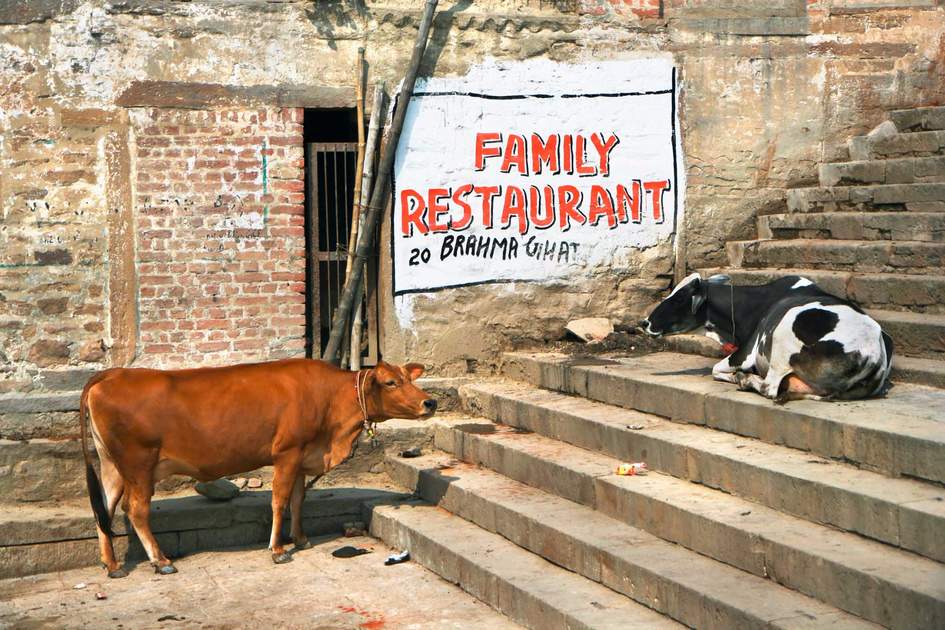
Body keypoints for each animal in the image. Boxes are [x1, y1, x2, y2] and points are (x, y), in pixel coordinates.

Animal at [81, 358, 436, 580]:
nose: (429, 402)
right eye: (391, 382)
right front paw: (277, 549)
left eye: (410, 378)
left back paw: (112, 564)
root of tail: (111, 374)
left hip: (112, 465)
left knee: (104, 510)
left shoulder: (303, 457)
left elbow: (298, 501)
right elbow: (279, 501)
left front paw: (301, 539)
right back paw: (160, 561)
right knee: (135, 510)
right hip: (139, 464)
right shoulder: (287, 453)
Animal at [640, 274, 892, 402]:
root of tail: (873, 352)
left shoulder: (746, 352)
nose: (645, 322)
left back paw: (746, 380)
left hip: (782, 341)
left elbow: (716, 370)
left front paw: (738, 376)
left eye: (678, 298)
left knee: (769, 387)